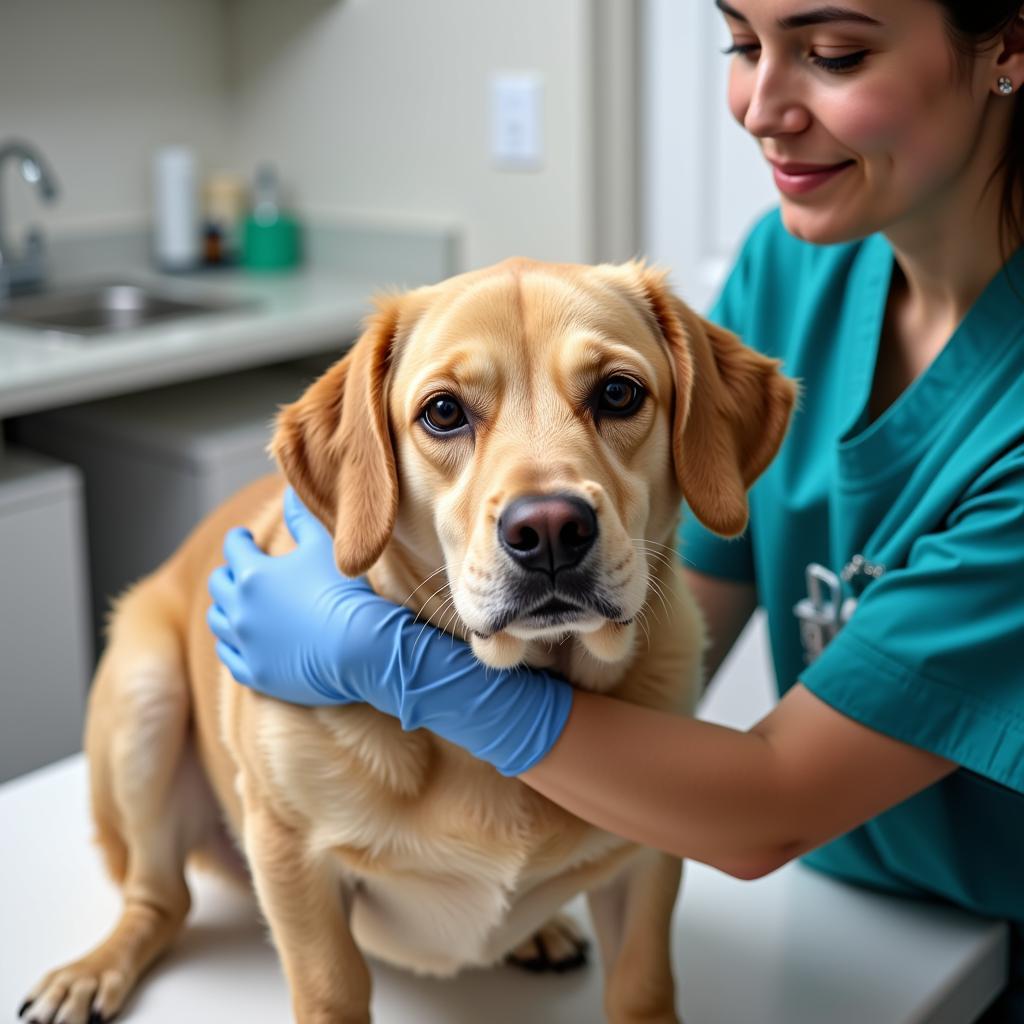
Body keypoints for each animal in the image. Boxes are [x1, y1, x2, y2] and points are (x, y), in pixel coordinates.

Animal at [19, 258, 794, 1024]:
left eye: (618, 393)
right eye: (444, 412)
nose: (548, 529)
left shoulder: (648, 864)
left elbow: (643, 987)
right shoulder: (290, 856)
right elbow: (330, 990)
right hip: (145, 696)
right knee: (160, 899)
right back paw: (95, 969)